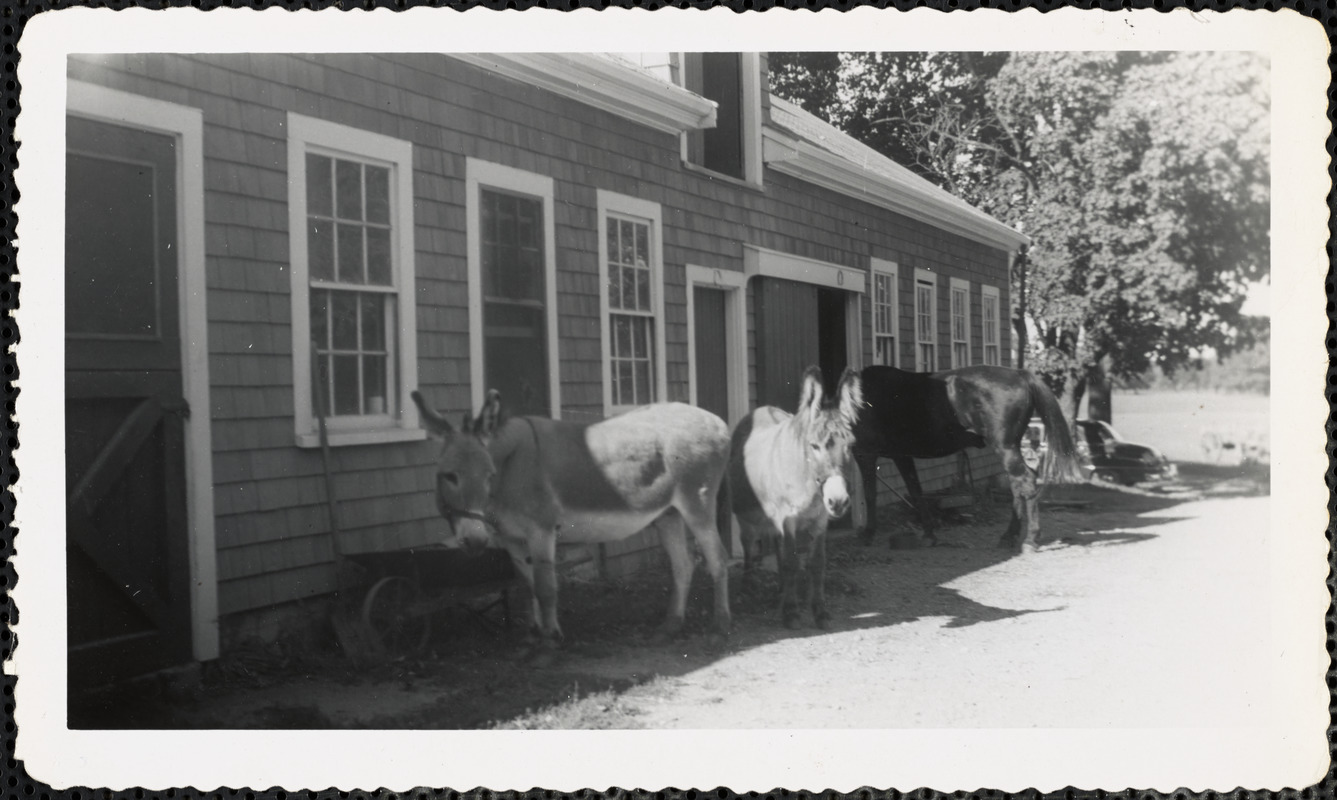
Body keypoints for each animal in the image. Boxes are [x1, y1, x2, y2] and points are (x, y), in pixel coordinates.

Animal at [855, 366, 1085, 553]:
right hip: (1011, 447)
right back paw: (1009, 537)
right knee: (1018, 485)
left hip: (1005, 447)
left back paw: (1030, 540)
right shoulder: (902, 456)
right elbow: (916, 492)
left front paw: (867, 534)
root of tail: (1020, 374)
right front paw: (929, 535)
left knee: (1025, 481)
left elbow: (870, 494)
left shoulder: (866, 454)